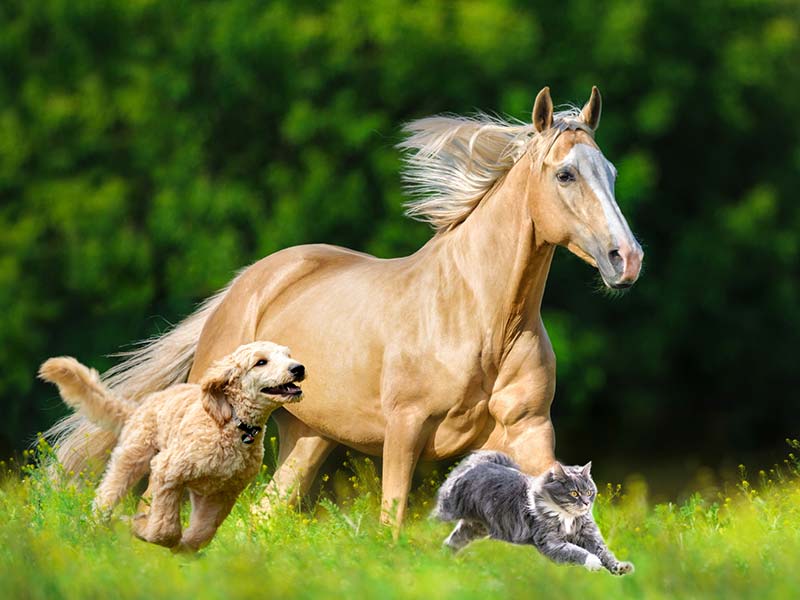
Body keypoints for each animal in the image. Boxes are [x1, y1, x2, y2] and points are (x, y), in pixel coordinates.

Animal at [39, 342, 304, 552]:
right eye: (261, 362)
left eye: (288, 355)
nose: (298, 368)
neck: (233, 425)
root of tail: (141, 407)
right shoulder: (168, 471)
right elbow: (163, 529)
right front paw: (142, 528)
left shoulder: (223, 493)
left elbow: (202, 533)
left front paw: (183, 547)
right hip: (133, 457)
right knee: (107, 494)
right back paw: (96, 527)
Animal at [51, 86, 644, 528]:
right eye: (565, 174)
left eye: (612, 173)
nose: (628, 259)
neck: (482, 322)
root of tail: (245, 286)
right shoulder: (405, 430)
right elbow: (391, 524)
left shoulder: (530, 430)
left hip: (309, 437)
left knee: (262, 515)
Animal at [434, 452, 636, 576]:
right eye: (574, 493)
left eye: (589, 492)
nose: (586, 503)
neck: (568, 518)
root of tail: (479, 463)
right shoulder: (552, 542)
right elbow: (577, 552)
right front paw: (594, 563)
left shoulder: (590, 537)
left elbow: (606, 554)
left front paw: (620, 568)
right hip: (448, 512)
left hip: (474, 528)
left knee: (452, 541)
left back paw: (443, 559)